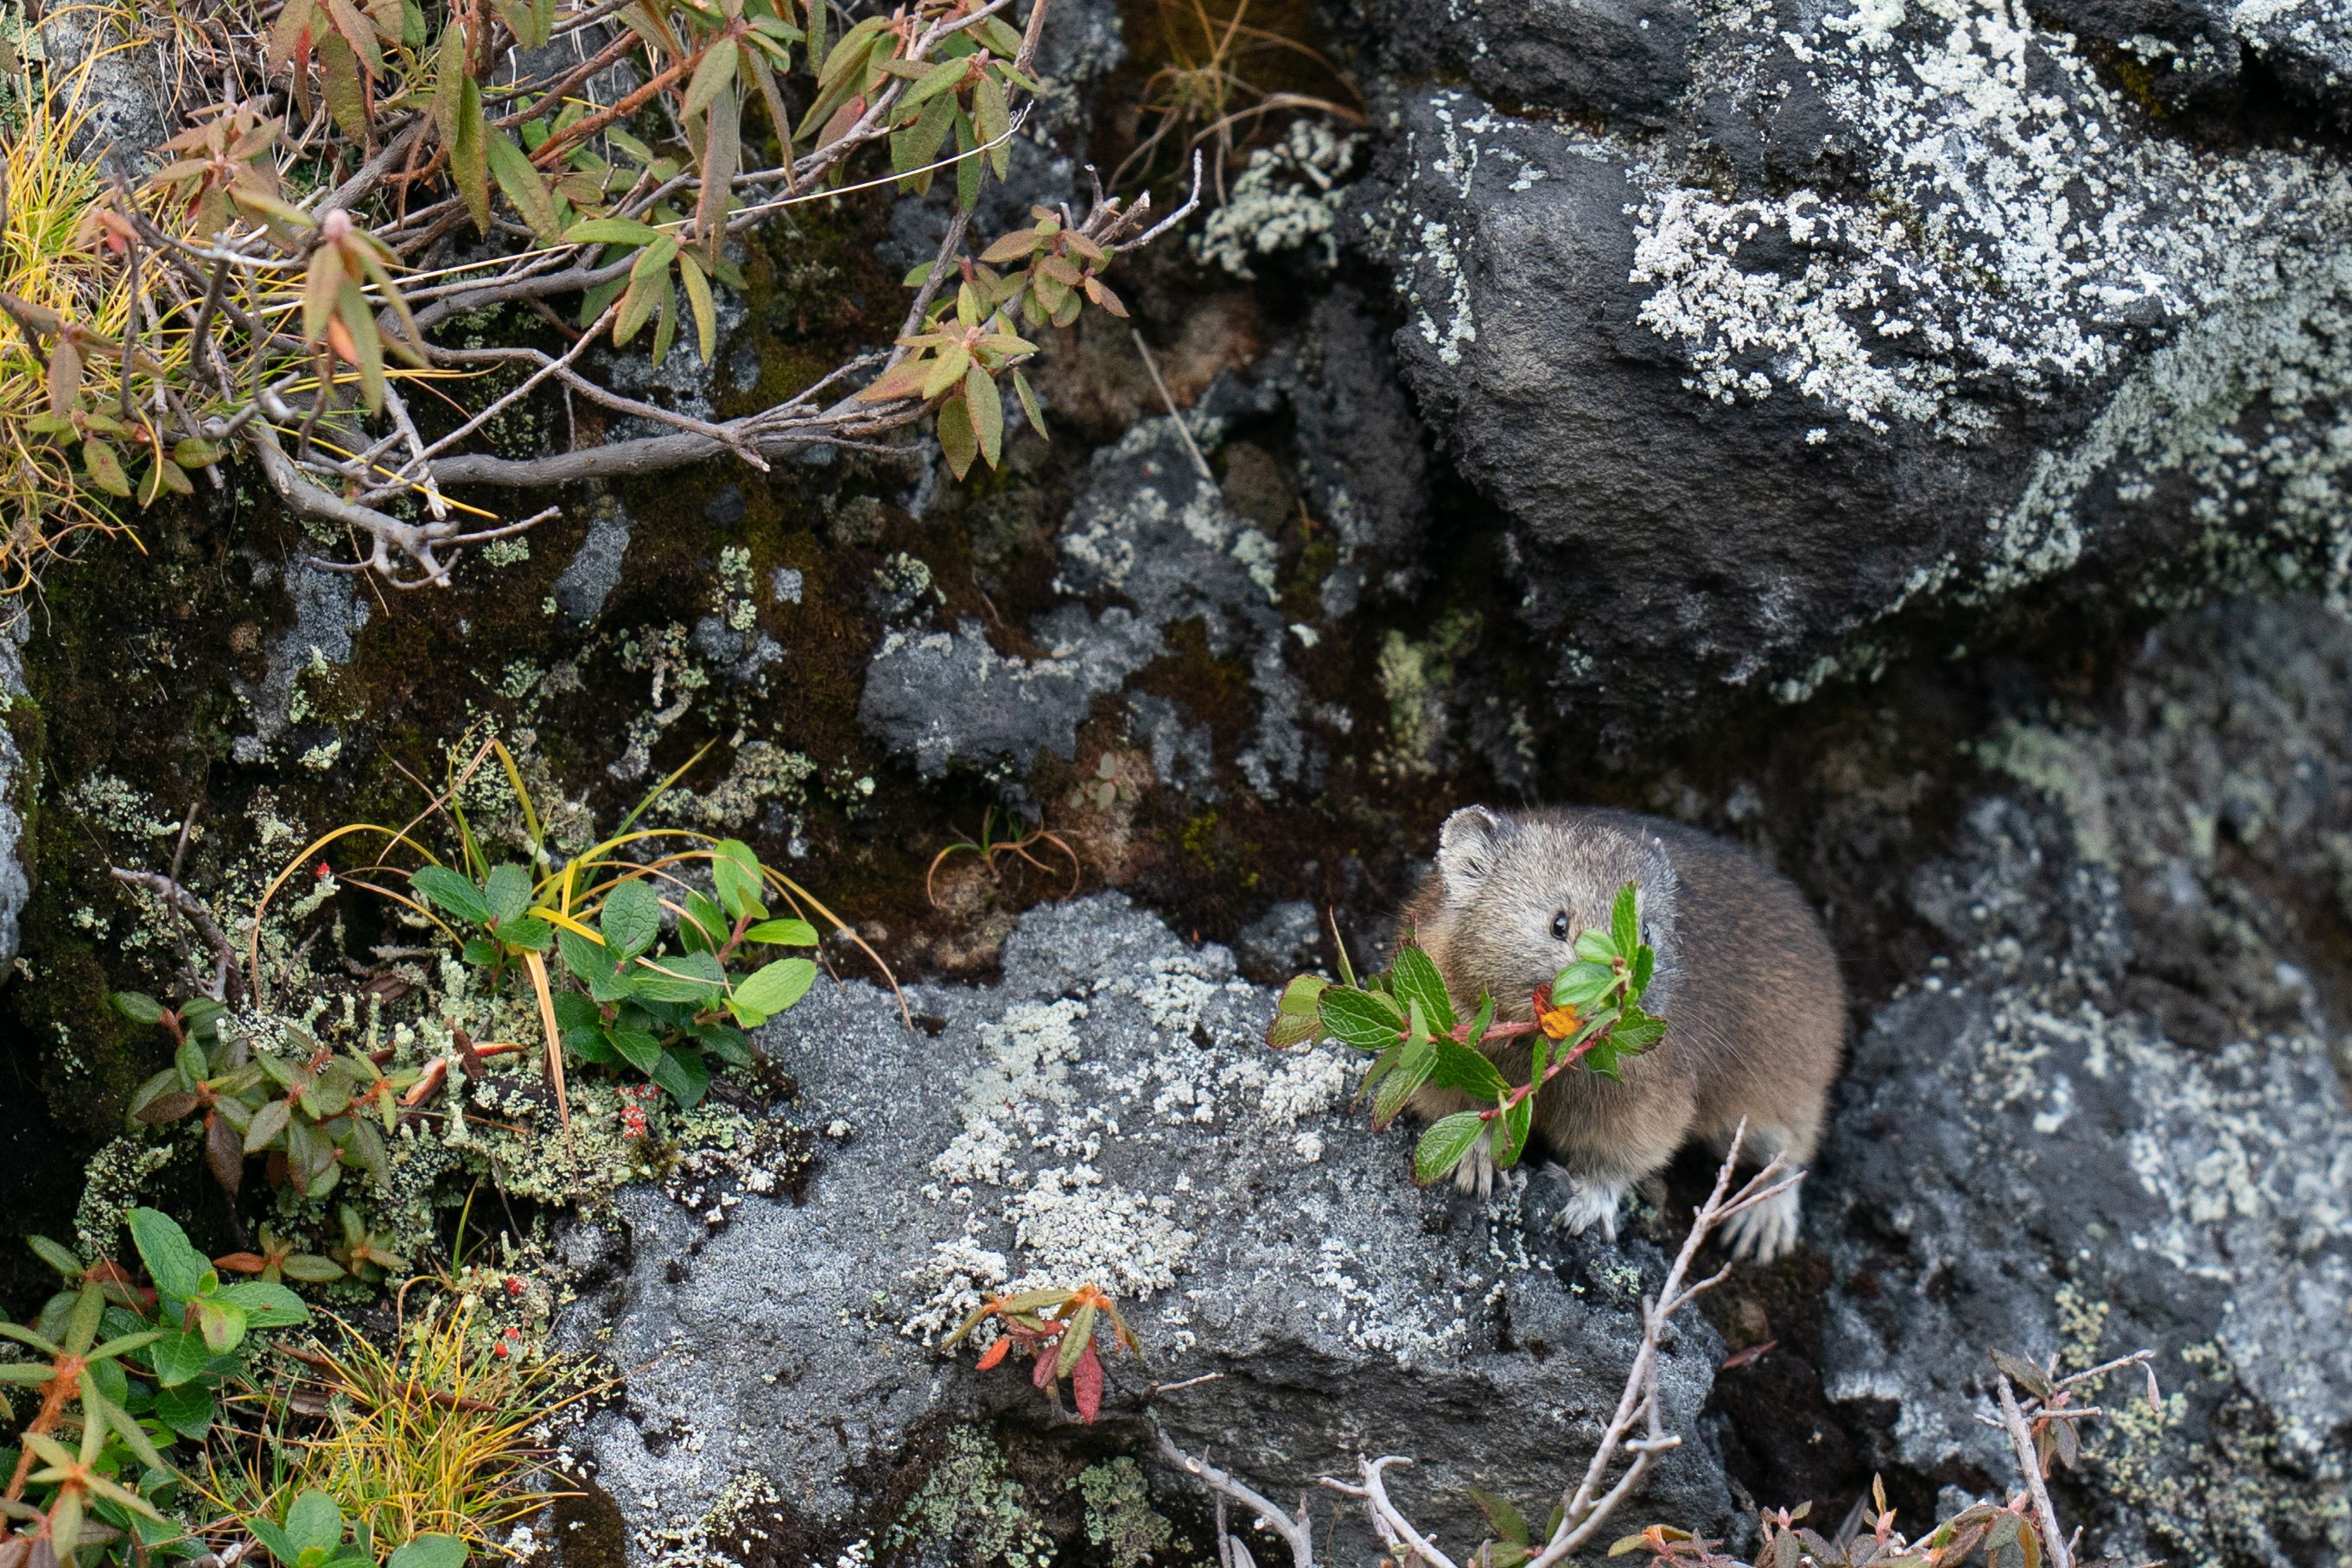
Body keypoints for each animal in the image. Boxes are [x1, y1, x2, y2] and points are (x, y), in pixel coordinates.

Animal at [1400, 805, 1844, 1262]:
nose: (1617, 998)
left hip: (1770, 1106)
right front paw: (1476, 1168)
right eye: (1559, 923)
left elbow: (1617, 1161)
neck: (1541, 1052)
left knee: (1792, 1151)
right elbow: (1465, 1112)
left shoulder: (1645, 1108)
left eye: (1646, 933)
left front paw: (1582, 1211)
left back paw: (1761, 1230)